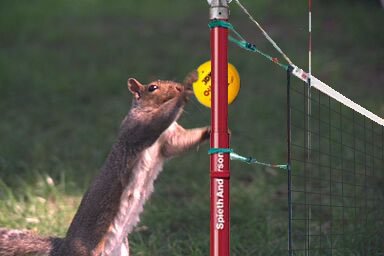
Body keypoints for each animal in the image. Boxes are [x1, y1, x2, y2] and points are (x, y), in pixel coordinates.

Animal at [0, 71, 210, 255]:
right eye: (153, 88)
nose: (178, 87)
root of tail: (63, 249)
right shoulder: (137, 126)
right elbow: (156, 121)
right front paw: (185, 92)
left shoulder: (169, 140)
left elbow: (179, 143)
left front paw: (207, 131)